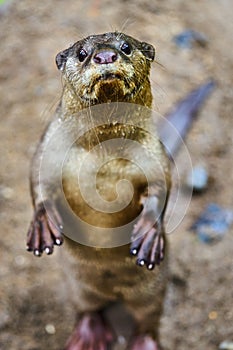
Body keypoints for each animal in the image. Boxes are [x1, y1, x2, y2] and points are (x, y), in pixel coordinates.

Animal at [26, 31, 215, 348]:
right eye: (82, 53)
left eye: (125, 46)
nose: (105, 56)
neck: (104, 159)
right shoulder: (49, 144)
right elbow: (37, 177)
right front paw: (42, 224)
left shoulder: (155, 155)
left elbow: (163, 187)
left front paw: (149, 232)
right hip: (76, 285)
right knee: (87, 307)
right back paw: (88, 334)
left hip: (153, 290)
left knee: (148, 320)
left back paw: (143, 342)